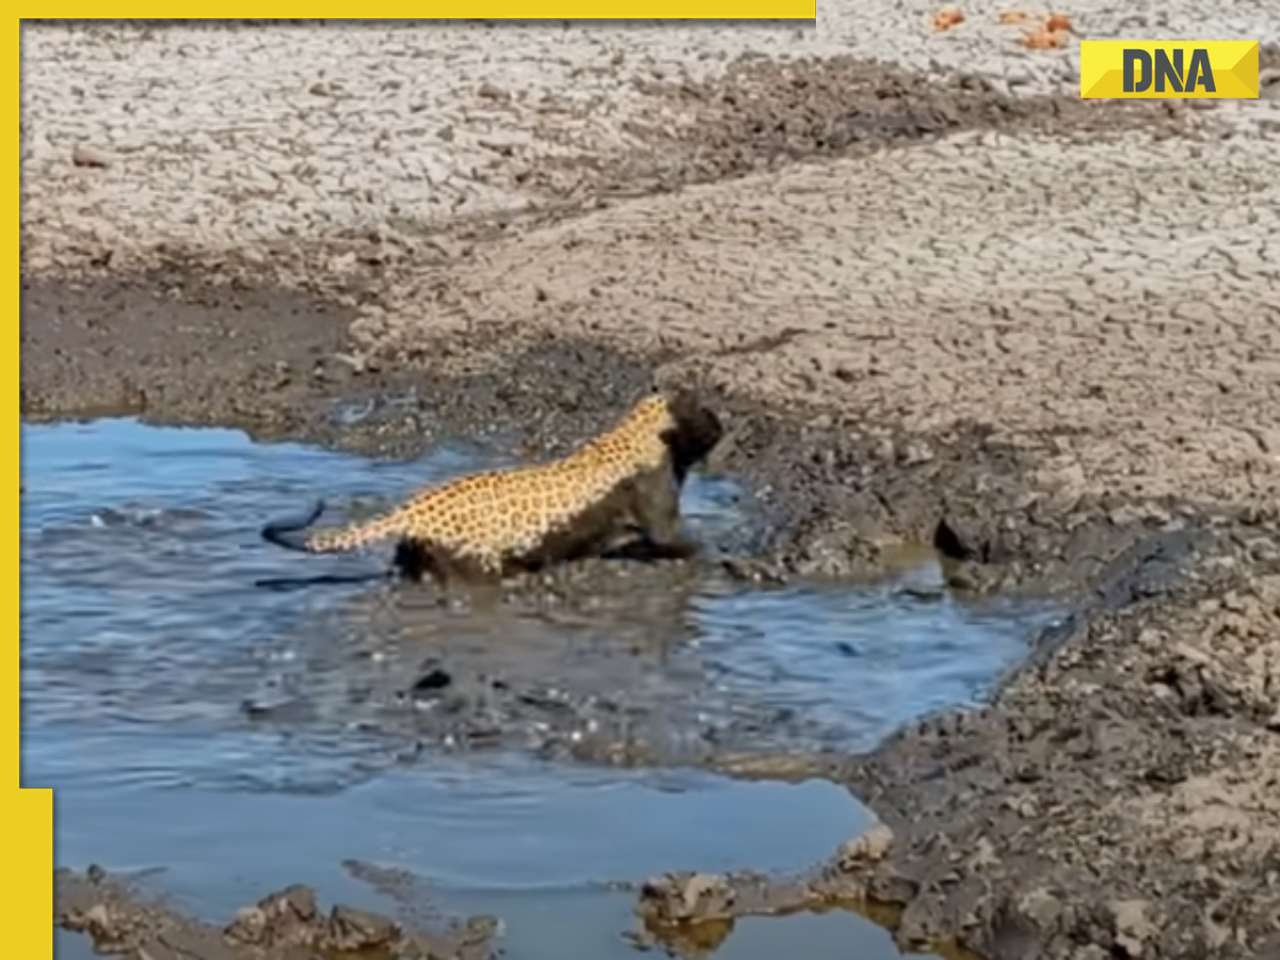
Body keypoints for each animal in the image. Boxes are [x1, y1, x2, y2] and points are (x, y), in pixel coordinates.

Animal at [262, 389, 721, 586]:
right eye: (703, 410)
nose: (722, 422)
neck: (645, 435)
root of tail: (410, 509)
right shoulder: (661, 520)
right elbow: (693, 544)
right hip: (474, 567)